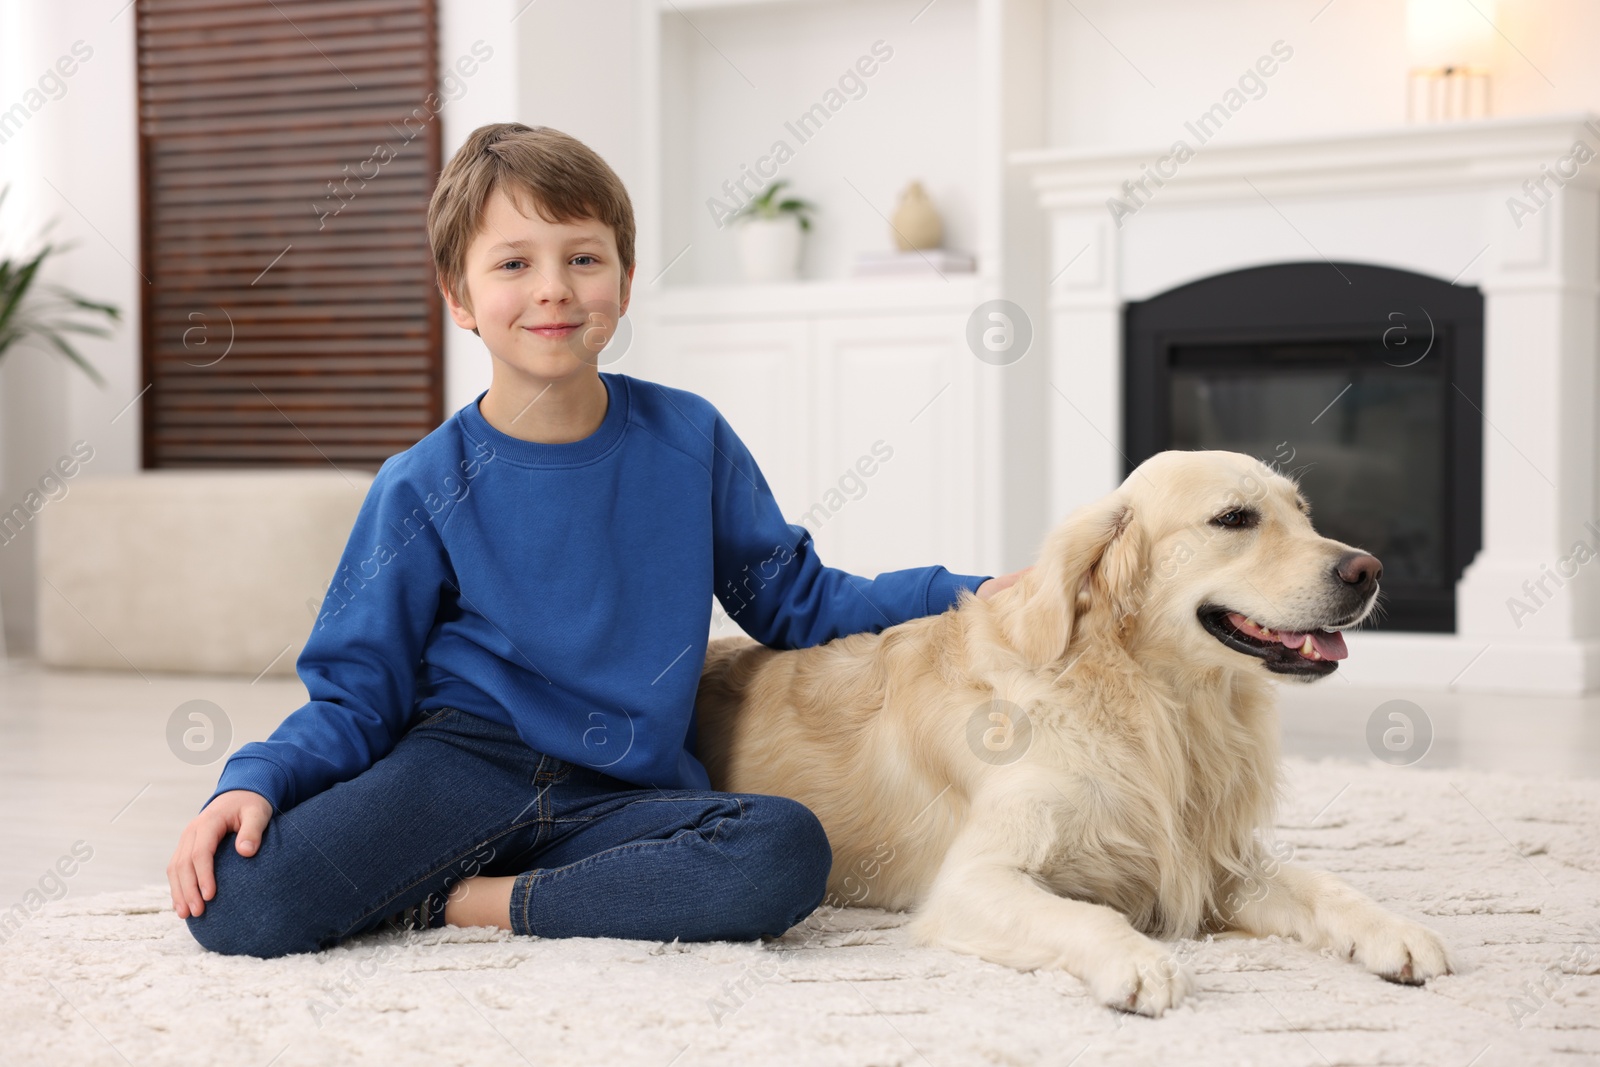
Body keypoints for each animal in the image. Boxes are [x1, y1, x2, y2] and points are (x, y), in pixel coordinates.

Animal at [694, 451, 1459, 1017]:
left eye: (1302, 512)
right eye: (1234, 518)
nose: (1368, 569)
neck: (1156, 703)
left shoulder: (1212, 858)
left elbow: (1323, 885)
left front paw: (1395, 931)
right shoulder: (973, 881)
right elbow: (1089, 916)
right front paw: (1141, 961)